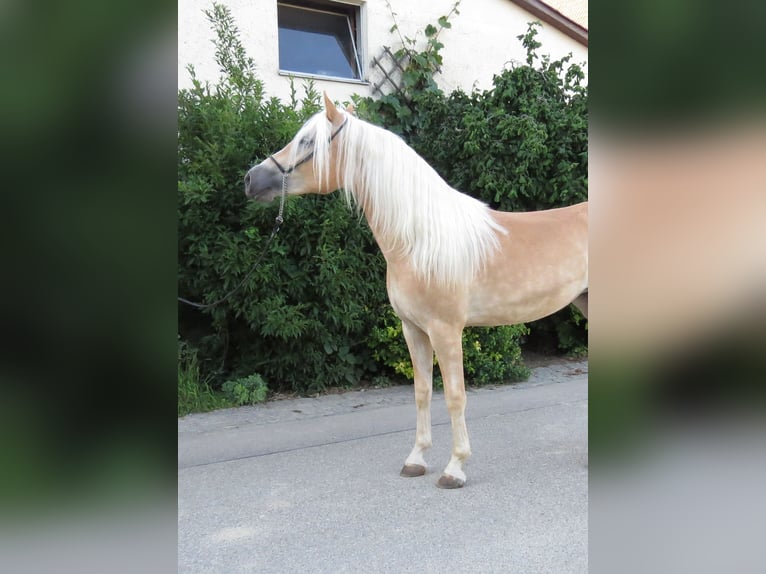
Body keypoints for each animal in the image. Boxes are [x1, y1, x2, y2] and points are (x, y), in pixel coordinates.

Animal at [245, 93, 588, 488]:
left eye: (307, 142)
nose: (250, 179)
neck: (419, 241)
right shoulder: (413, 329)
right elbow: (422, 391)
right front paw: (417, 459)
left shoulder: (446, 330)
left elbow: (455, 395)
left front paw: (455, 468)